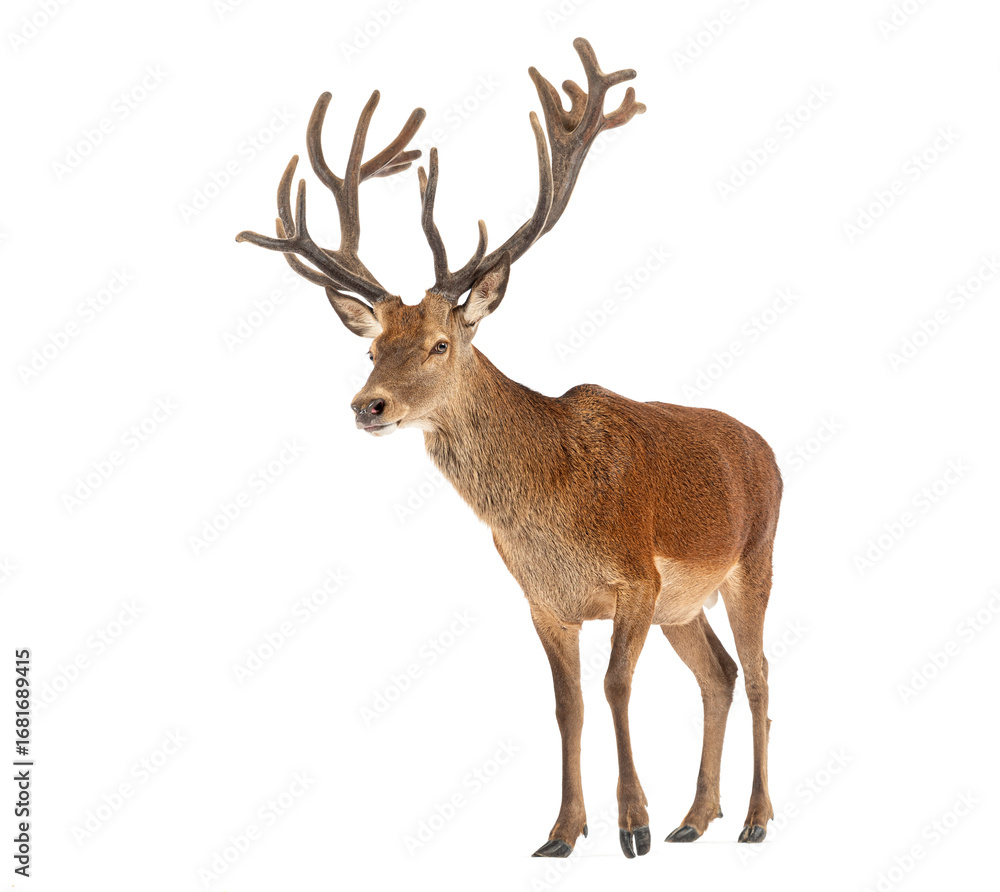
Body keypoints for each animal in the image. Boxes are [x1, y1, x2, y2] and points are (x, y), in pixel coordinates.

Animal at [236, 38, 782, 859]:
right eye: (372, 348)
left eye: (439, 344)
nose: (368, 406)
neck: (549, 507)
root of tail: (770, 449)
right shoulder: (543, 601)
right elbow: (567, 705)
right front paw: (562, 832)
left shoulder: (637, 579)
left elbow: (616, 688)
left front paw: (632, 825)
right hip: (685, 605)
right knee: (715, 674)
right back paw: (695, 818)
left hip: (753, 559)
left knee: (757, 675)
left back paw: (752, 818)